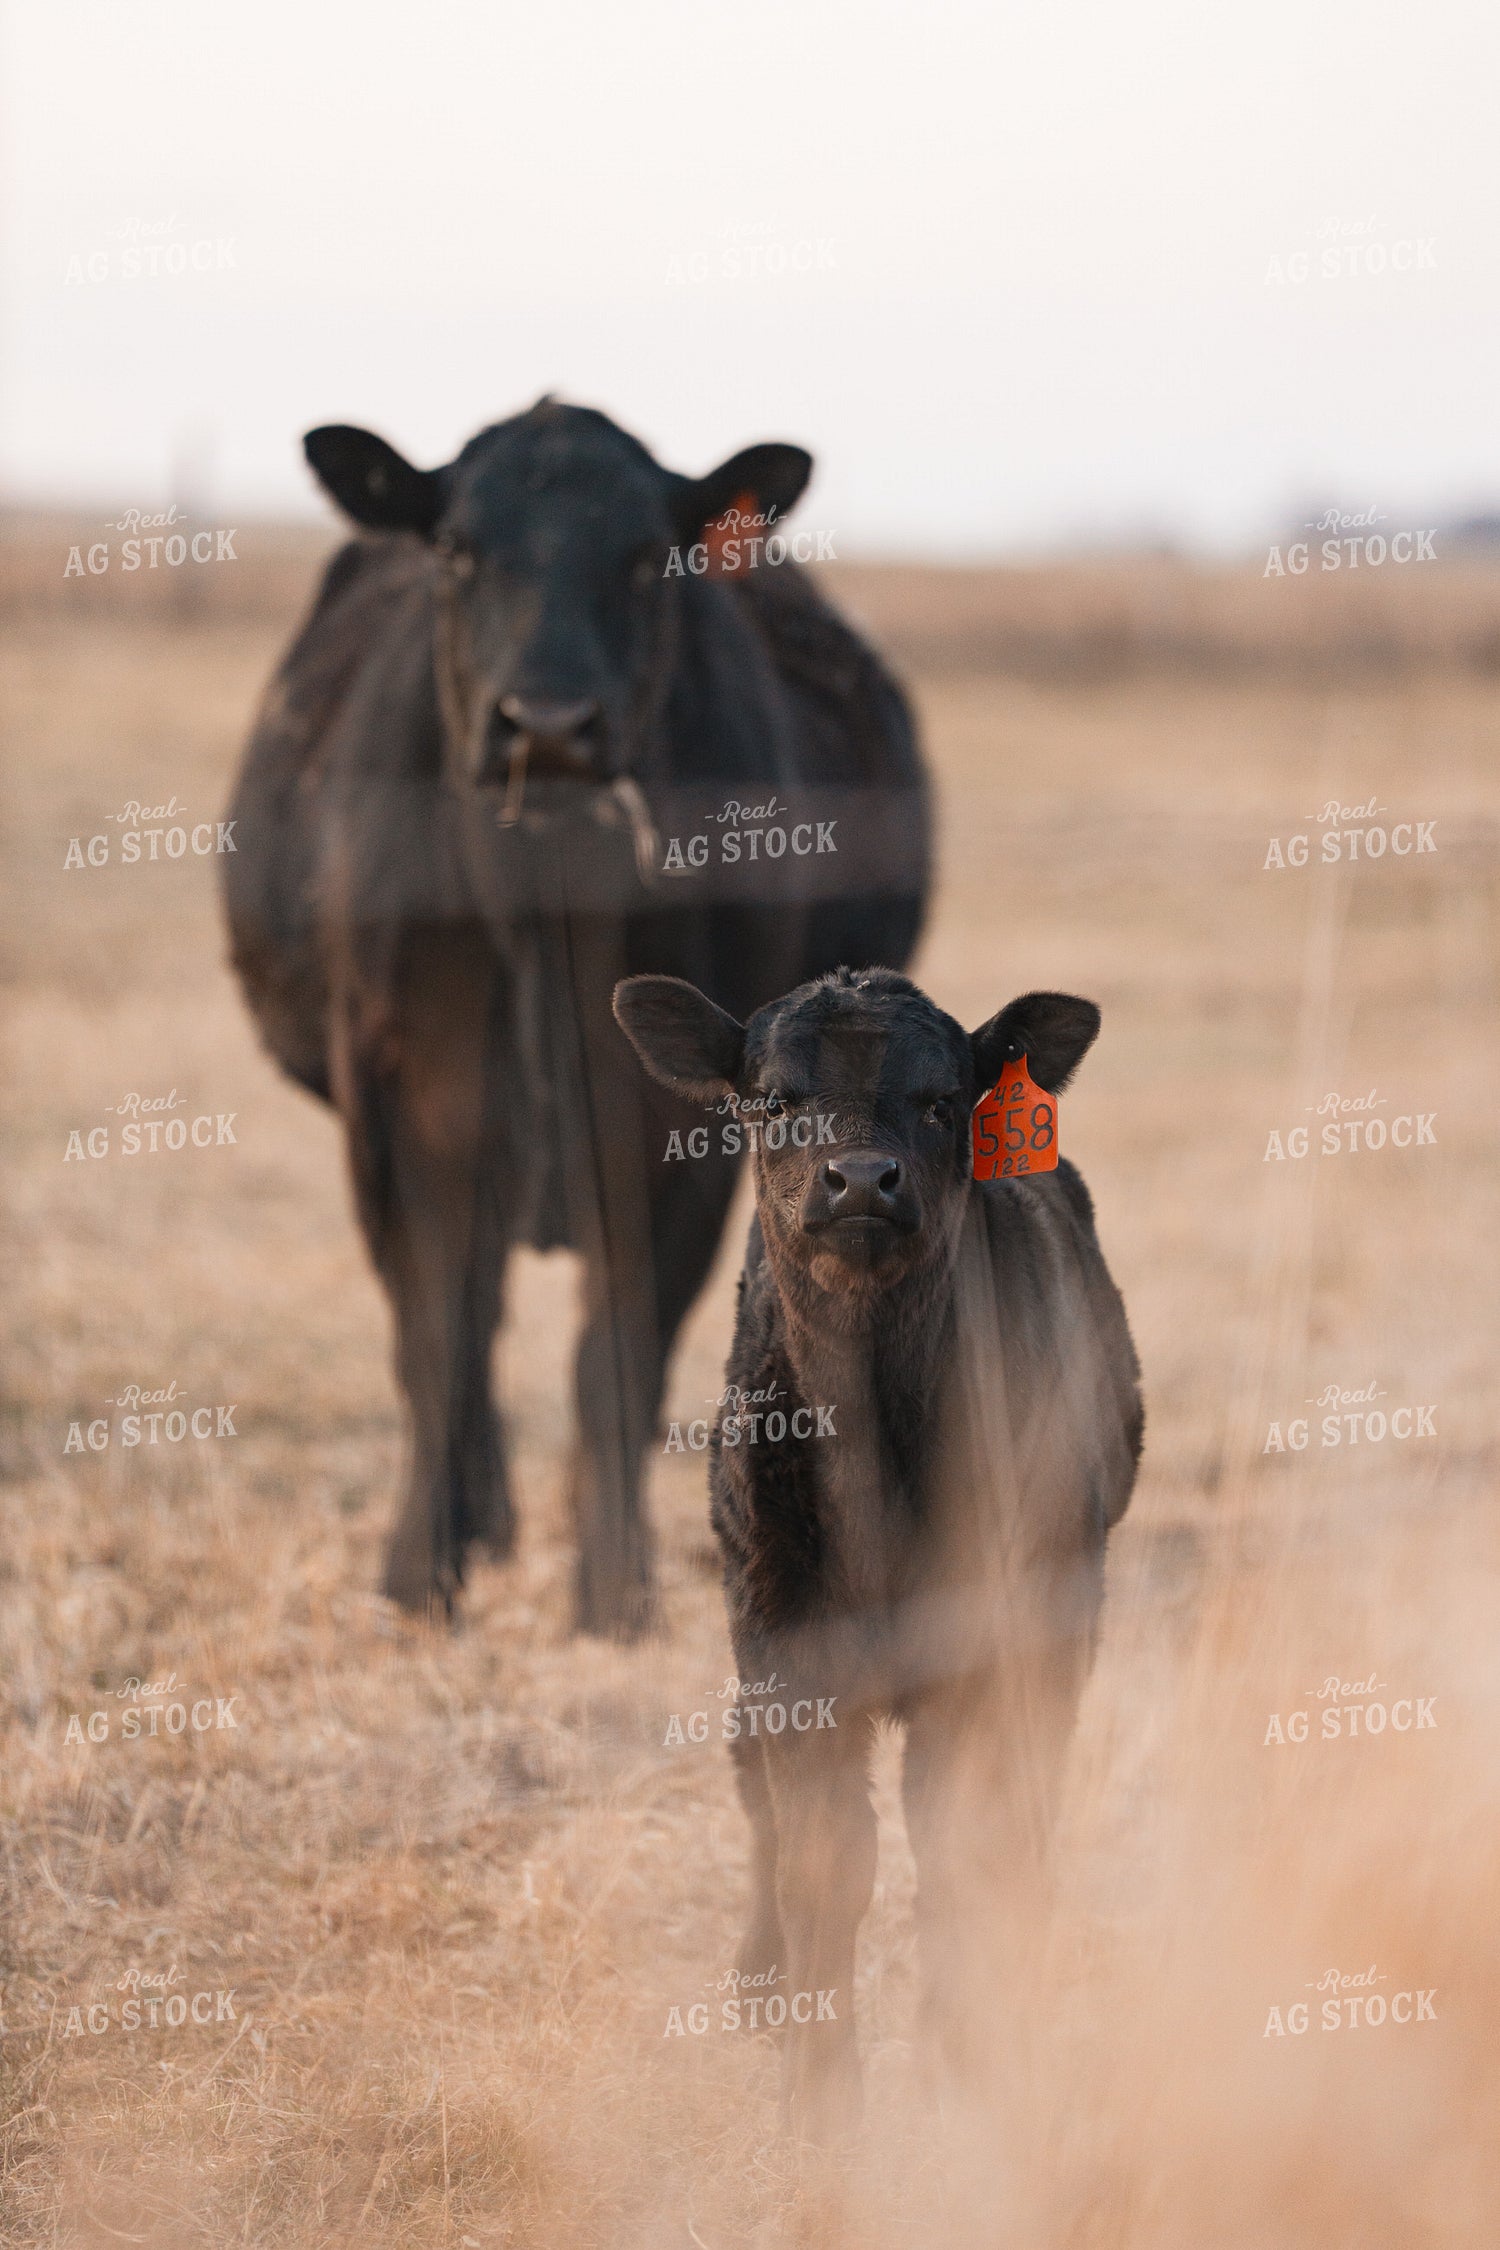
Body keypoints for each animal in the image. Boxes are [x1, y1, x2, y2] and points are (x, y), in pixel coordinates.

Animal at [222, 400, 928, 1632]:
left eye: (646, 558)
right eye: (458, 548)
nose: (546, 723)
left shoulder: (678, 1132)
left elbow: (619, 1351)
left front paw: (614, 1592)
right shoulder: (403, 1099)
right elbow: (438, 1333)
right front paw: (419, 1575)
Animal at [613, 965, 1142, 2137]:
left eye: (944, 1102)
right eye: (772, 1099)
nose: (860, 1178)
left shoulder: (1010, 1639)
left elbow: (969, 1842)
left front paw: (969, 2054)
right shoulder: (782, 1645)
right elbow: (824, 1859)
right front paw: (819, 2098)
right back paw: (760, 1983)